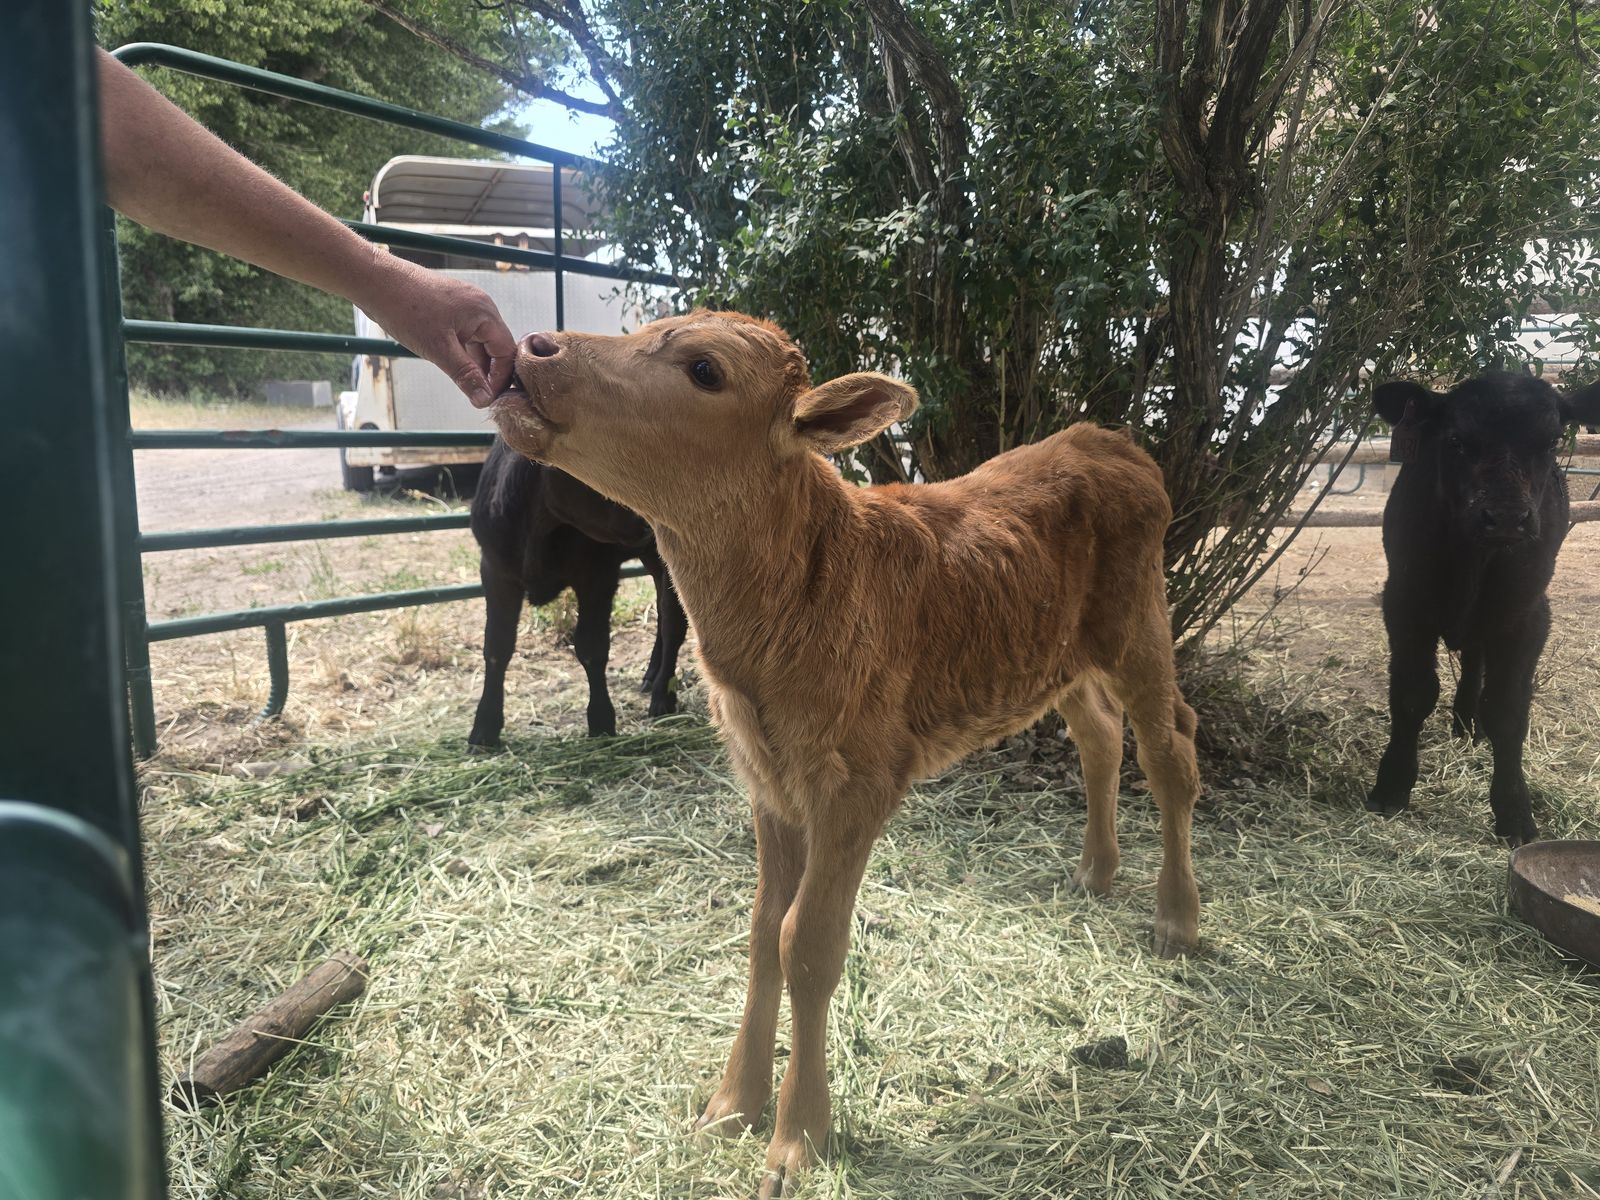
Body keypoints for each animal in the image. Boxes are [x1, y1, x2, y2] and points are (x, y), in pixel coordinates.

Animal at [466, 436, 688, 746]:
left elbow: (592, 648)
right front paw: (484, 728)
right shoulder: (496, 572)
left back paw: (662, 696)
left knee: (672, 622)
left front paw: (601, 720)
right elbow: (497, 647)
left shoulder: (598, 576)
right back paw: (651, 675)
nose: (651, 518)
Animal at [489, 311, 1200, 1196]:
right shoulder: (768, 781)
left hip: (1140, 623)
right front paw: (732, 1106)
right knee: (1099, 735)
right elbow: (763, 929)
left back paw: (1177, 919)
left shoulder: (858, 781)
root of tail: (1111, 441)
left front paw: (798, 1140)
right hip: (1055, 657)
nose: (535, 347)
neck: (805, 591)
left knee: (1170, 753)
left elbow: (809, 943)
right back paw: (1096, 872)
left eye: (705, 369)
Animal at [1366, 370, 1600, 844]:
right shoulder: (1404, 601)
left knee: (1475, 664)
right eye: (1454, 440)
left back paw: (1467, 724)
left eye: (1551, 441)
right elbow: (1412, 694)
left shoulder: (1527, 615)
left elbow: (1507, 710)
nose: (1507, 516)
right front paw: (1392, 786)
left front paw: (1515, 814)